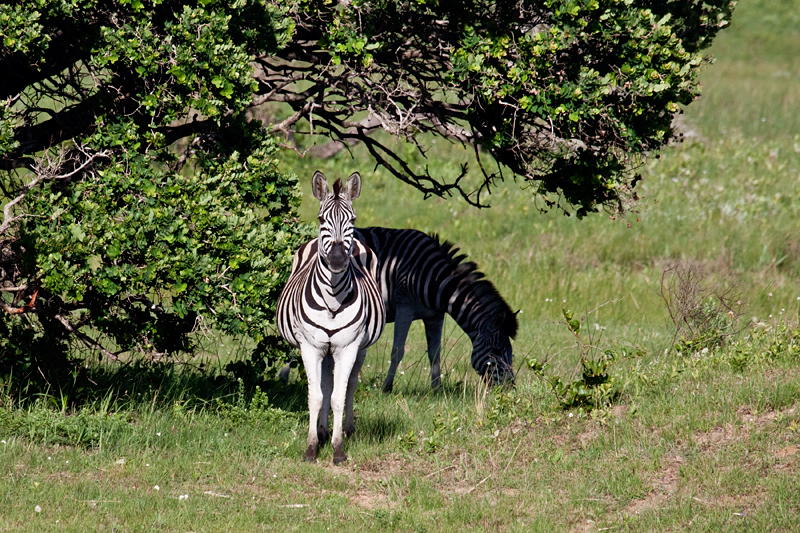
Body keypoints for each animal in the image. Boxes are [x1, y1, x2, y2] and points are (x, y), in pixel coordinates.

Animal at [276, 169, 386, 462]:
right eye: (321, 219)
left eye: (353, 219)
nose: (336, 259)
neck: (332, 298)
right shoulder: (310, 346)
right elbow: (316, 396)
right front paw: (312, 447)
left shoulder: (347, 346)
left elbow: (338, 395)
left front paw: (338, 449)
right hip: (324, 348)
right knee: (325, 385)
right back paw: (323, 431)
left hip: (359, 348)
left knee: (350, 385)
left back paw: (347, 430)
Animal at [282, 224, 520, 390]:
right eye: (496, 351)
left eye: (510, 352)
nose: (510, 389)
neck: (436, 281)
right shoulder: (404, 307)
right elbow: (398, 350)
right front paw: (387, 387)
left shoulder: (435, 315)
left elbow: (435, 352)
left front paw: (437, 388)